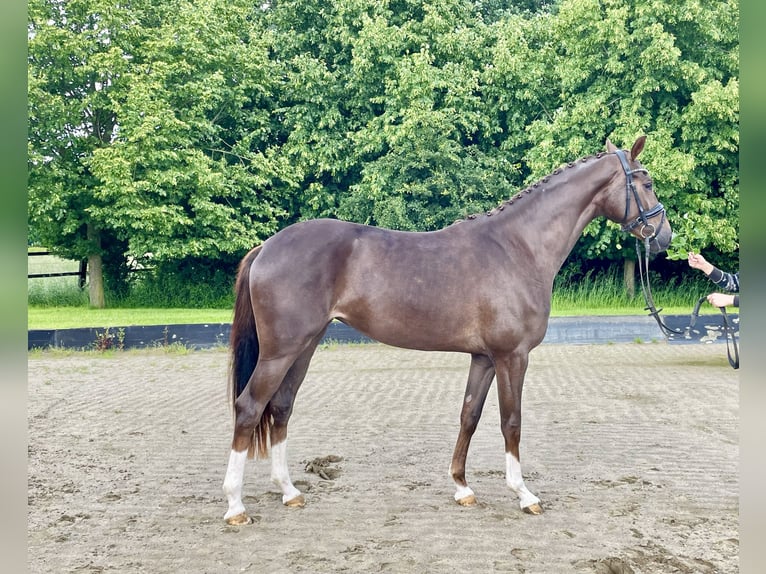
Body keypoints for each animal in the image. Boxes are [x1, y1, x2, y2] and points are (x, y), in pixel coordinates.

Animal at [220, 136, 672, 528]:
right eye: (647, 181)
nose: (663, 236)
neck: (518, 247)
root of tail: (267, 247)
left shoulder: (484, 358)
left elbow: (469, 416)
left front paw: (462, 488)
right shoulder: (513, 356)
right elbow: (511, 421)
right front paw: (524, 494)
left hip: (305, 346)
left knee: (280, 407)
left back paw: (289, 492)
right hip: (281, 351)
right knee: (249, 408)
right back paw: (236, 506)